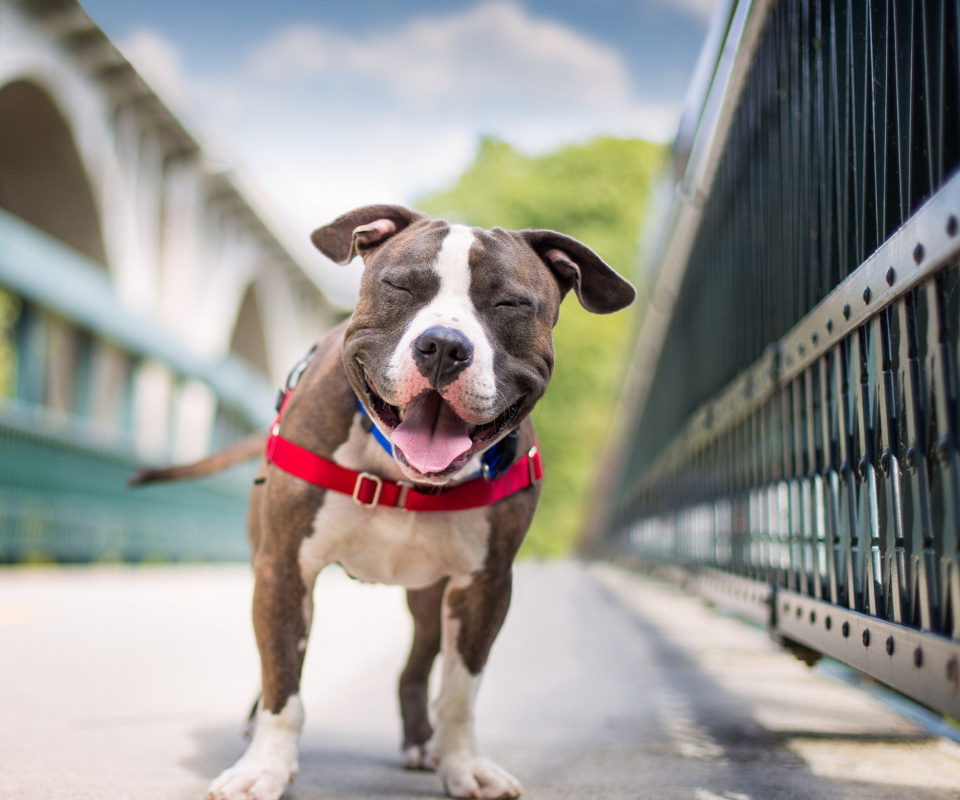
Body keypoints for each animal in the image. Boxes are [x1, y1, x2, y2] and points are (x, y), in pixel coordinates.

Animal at [133, 203, 632, 796]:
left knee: (416, 668)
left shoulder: (485, 586)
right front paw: (264, 769)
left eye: (509, 303)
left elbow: (460, 692)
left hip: (430, 598)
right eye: (400, 286)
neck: (401, 475)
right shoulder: (283, 567)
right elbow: (283, 682)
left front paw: (464, 765)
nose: (444, 346)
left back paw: (423, 743)